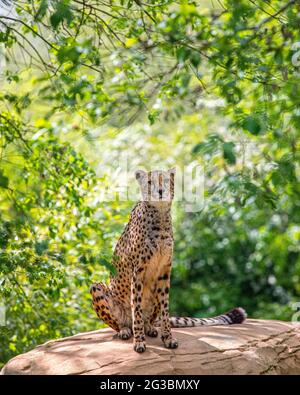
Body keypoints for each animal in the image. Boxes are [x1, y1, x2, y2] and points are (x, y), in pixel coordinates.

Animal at [91, 169, 246, 354]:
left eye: (165, 180)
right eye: (149, 182)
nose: (160, 191)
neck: (159, 216)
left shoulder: (165, 270)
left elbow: (165, 308)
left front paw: (168, 338)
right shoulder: (138, 271)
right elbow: (136, 307)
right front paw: (139, 342)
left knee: (150, 319)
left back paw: (150, 328)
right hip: (97, 287)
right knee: (120, 323)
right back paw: (126, 330)